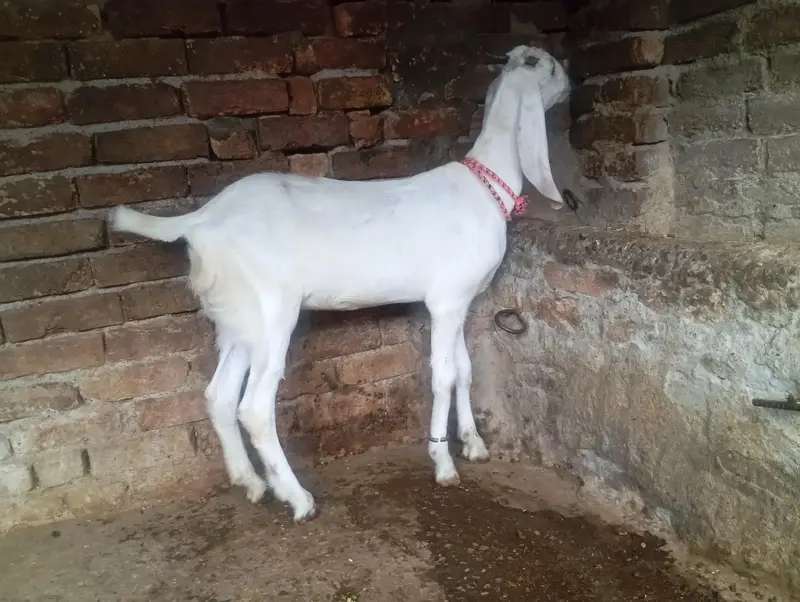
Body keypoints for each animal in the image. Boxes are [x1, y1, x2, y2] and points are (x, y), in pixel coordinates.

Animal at [109, 45, 569, 523]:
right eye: (552, 67)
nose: (570, 83)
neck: (484, 186)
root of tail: (201, 220)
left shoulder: (458, 300)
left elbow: (463, 368)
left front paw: (474, 444)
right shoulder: (445, 302)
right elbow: (442, 376)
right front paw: (443, 464)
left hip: (237, 315)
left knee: (219, 394)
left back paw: (252, 483)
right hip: (271, 311)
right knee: (253, 408)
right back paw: (297, 498)